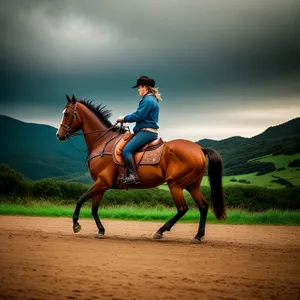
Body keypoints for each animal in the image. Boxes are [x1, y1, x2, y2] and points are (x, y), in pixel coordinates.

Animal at [55, 95, 225, 243]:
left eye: (67, 113)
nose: (59, 135)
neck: (103, 141)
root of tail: (199, 148)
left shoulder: (102, 182)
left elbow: (80, 199)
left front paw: (76, 224)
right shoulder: (100, 184)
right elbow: (94, 208)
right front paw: (101, 230)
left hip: (175, 185)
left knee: (183, 209)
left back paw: (160, 231)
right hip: (192, 185)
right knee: (203, 206)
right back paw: (198, 236)